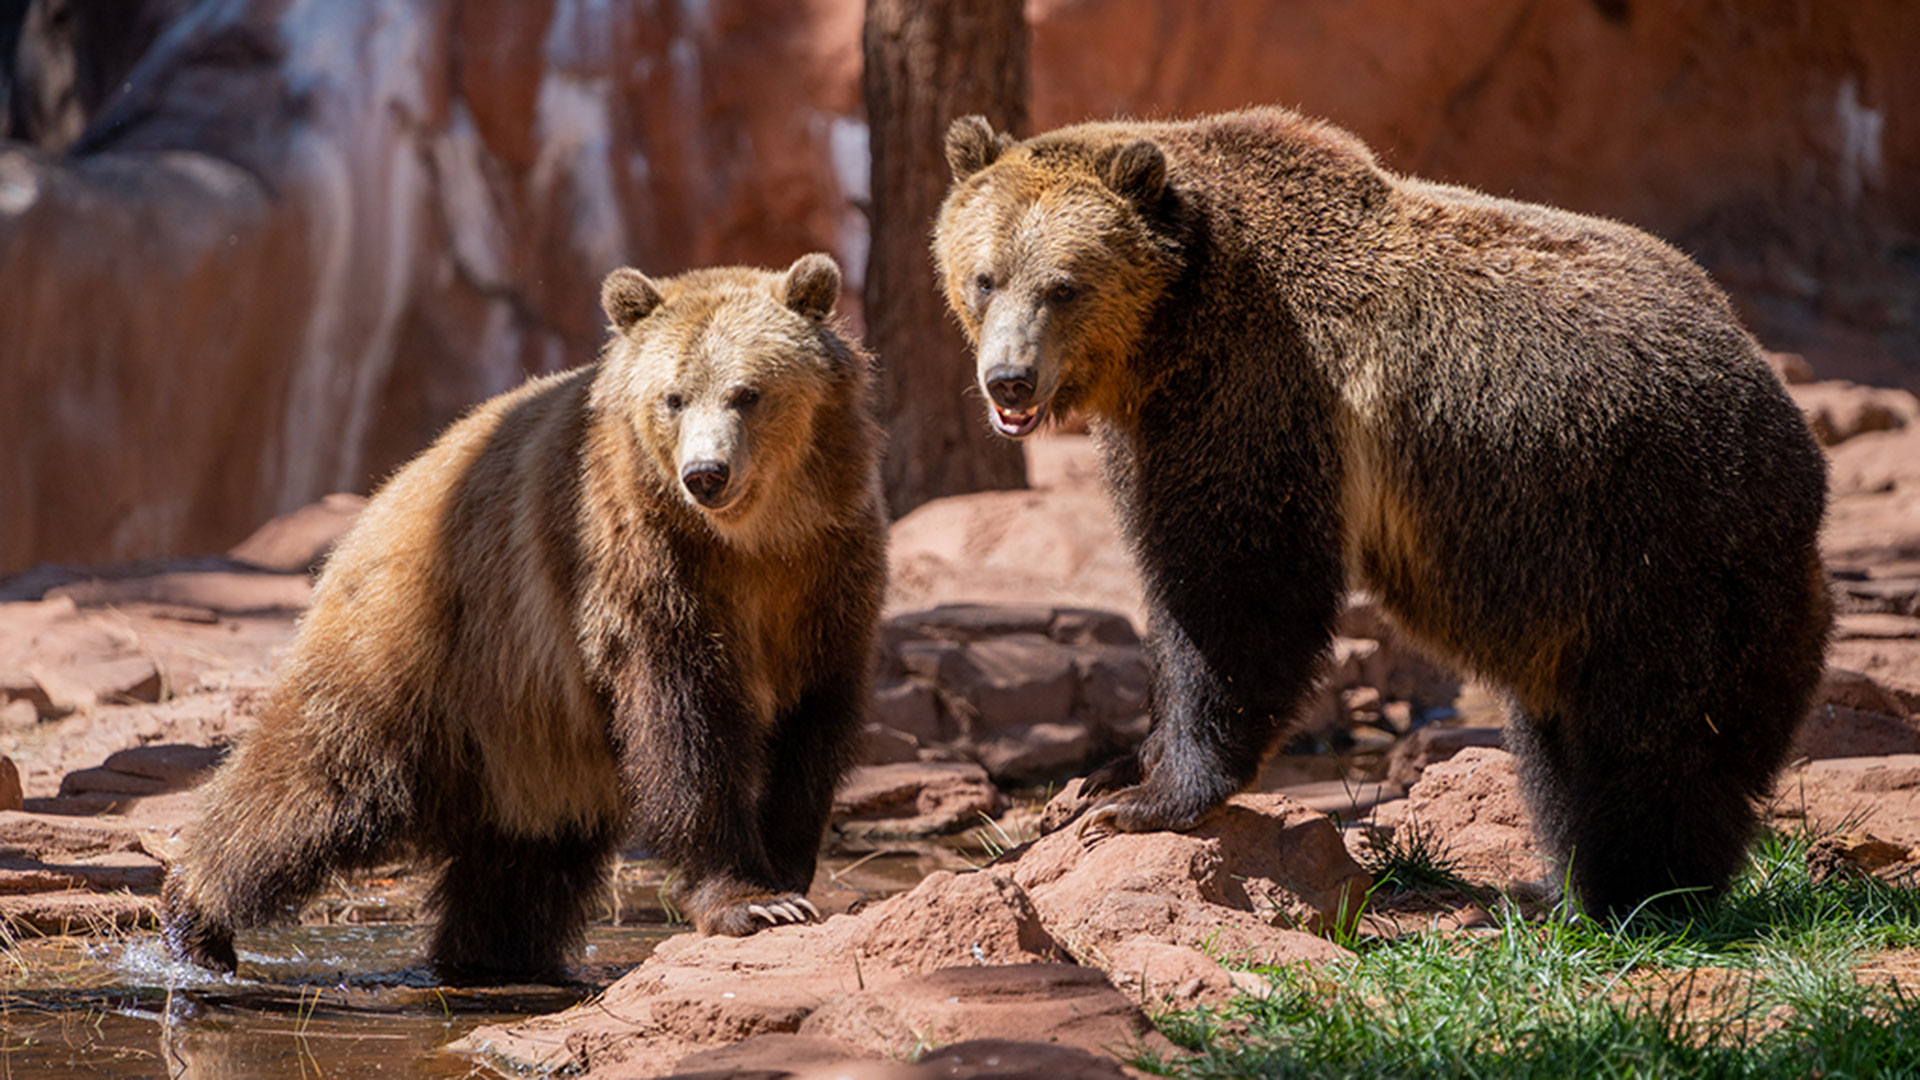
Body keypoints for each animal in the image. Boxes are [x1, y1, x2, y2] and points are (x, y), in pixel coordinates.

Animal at [161, 253, 887, 981]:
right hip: (429, 640)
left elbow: (813, 723)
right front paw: (750, 899)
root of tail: (383, 496)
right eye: (674, 397)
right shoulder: (639, 560)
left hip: (528, 723)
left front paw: (787, 876)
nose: (705, 474)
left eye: (748, 393)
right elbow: (685, 722)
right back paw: (195, 915)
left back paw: (495, 955)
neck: (752, 540)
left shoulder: (827, 571)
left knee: (524, 861)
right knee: (319, 780)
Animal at [933, 108, 1831, 919]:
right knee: (1560, 739)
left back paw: (1636, 897)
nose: (1008, 379)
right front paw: (1116, 770)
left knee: (1657, 739)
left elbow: (1237, 587)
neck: (1171, 329)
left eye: (1064, 285)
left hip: (1656, 535)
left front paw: (1151, 796)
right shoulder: (1159, 423)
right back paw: (1563, 886)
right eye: (986, 276)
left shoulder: (1258, 392)